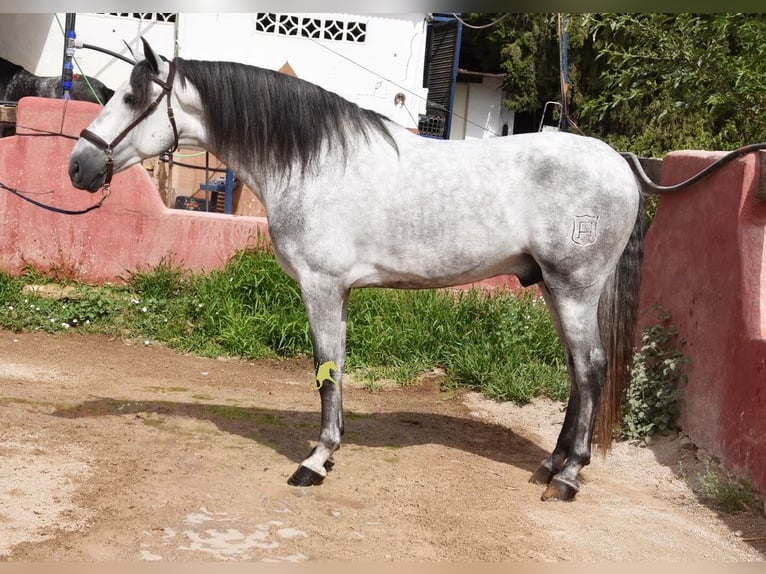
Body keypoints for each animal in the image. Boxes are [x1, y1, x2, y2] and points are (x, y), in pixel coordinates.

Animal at [68, 38, 644, 502]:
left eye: (132, 98)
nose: (78, 166)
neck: (312, 163)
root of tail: (619, 163)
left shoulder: (320, 286)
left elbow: (324, 370)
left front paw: (315, 461)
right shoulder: (339, 291)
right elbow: (337, 368)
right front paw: (332, 448)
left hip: (574, 288)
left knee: (591, 369)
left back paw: (568, 476)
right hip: (550, 287)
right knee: (576, 371)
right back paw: (551, 463)